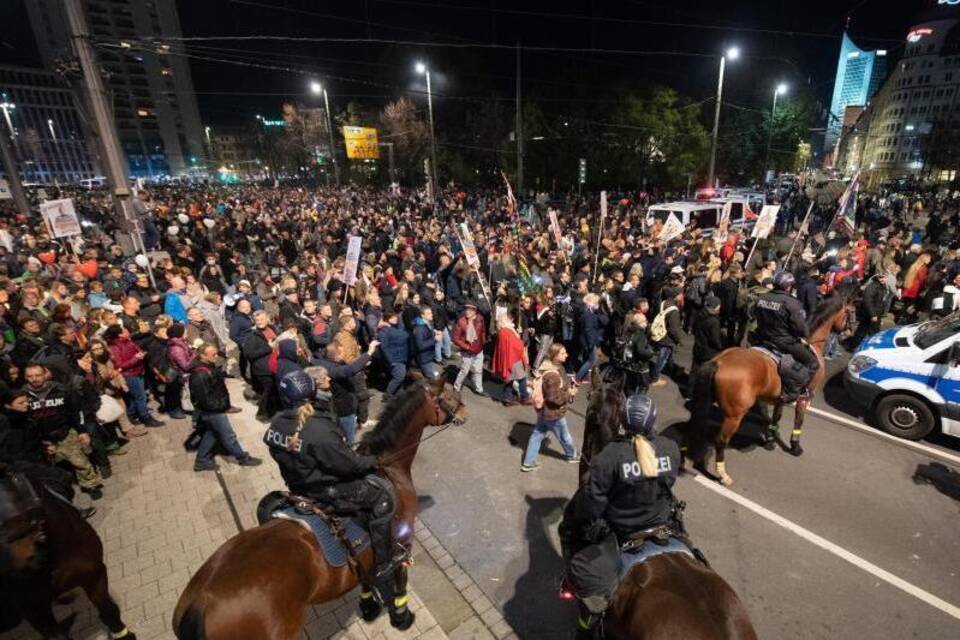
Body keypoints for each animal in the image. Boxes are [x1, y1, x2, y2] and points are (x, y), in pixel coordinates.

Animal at [173, 380, 468, 640]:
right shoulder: (402, 542)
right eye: (449, 396)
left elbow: (365, 578)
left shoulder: (364, 556)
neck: (389, 468)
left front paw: (369, 606)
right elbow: (400, 580)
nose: (465, 412)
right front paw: (402, 616)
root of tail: (200, 604)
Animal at [688, 292, 852, 484]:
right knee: (721, 440)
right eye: (850, 312)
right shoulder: (804, 397)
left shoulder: (779, 399)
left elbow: (775, 418)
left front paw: (771, 440)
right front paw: (795, 446)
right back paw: (723, 475)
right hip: (734, 416)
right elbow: (799, 421)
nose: (848, 333)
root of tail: (719, 362)